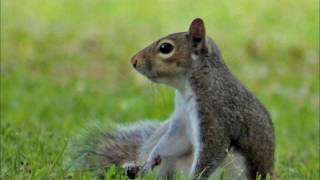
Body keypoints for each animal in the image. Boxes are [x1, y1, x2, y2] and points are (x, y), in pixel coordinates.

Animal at [69, 18, 276, 180]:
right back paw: (133, 168)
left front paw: (194, 177)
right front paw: (147, 163)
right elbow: (171, 143)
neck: (186, 88)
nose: (133, 60)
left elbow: (211, 152)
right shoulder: (180, 122)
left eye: (166, 48)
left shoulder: (214, 116)